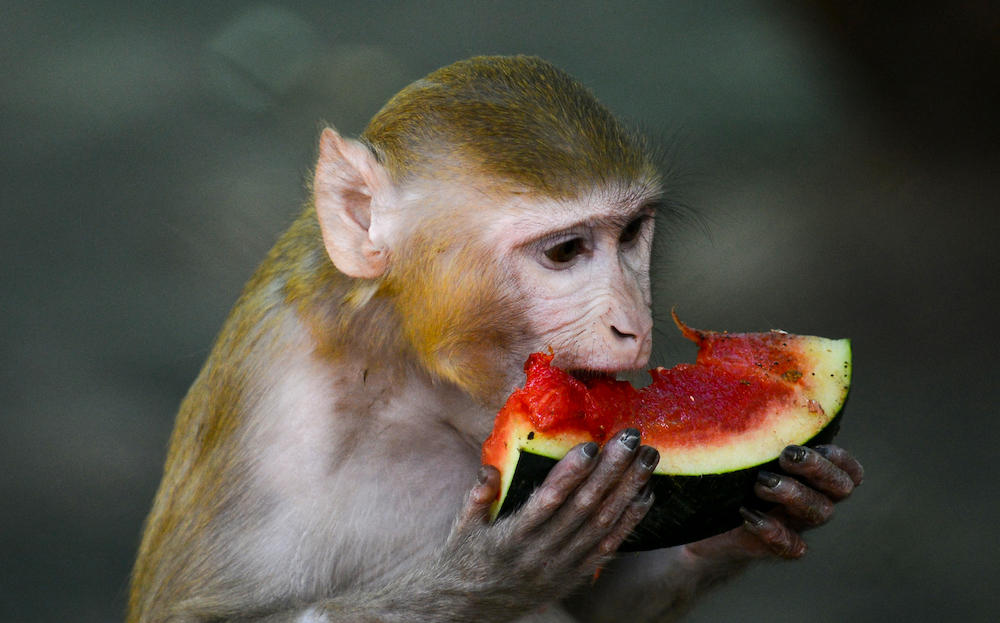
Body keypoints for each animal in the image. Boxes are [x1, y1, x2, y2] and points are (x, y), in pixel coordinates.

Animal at [129, 56, 864, 622]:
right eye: (566, 251)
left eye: (631, 234)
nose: (634, 322)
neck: (401, 365)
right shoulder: (278, 412)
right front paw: (483, 574)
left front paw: (792, 499)